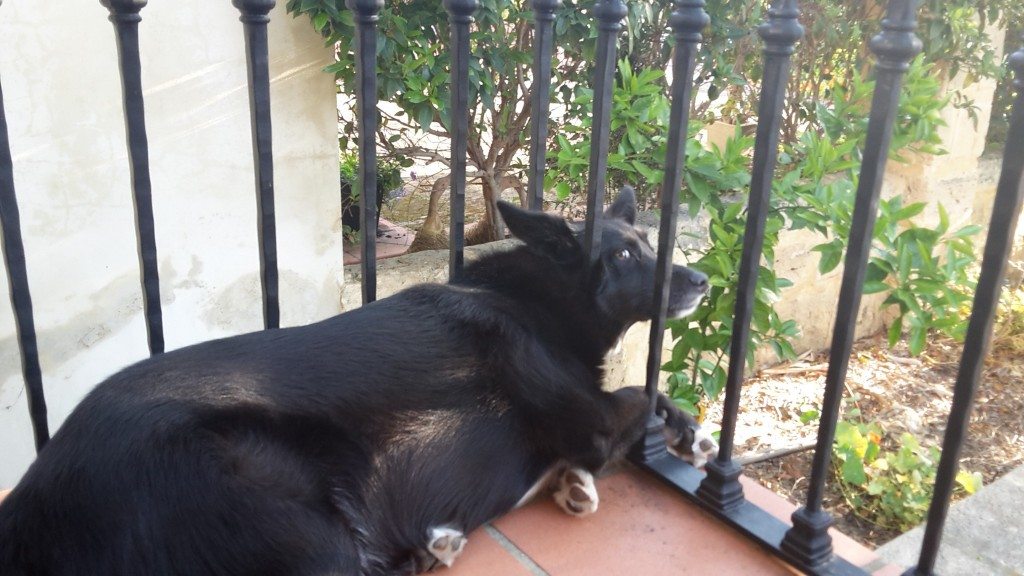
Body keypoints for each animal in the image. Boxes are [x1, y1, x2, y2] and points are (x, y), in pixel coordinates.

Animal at [0, 186, 716, 569]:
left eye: (650, 245)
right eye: (622, 256)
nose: (704, 280)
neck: (532, 302)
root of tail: (34, 498)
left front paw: (583, 480)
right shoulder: (589, 419)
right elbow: (641, 394)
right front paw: (686, 435)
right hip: (306, 530)